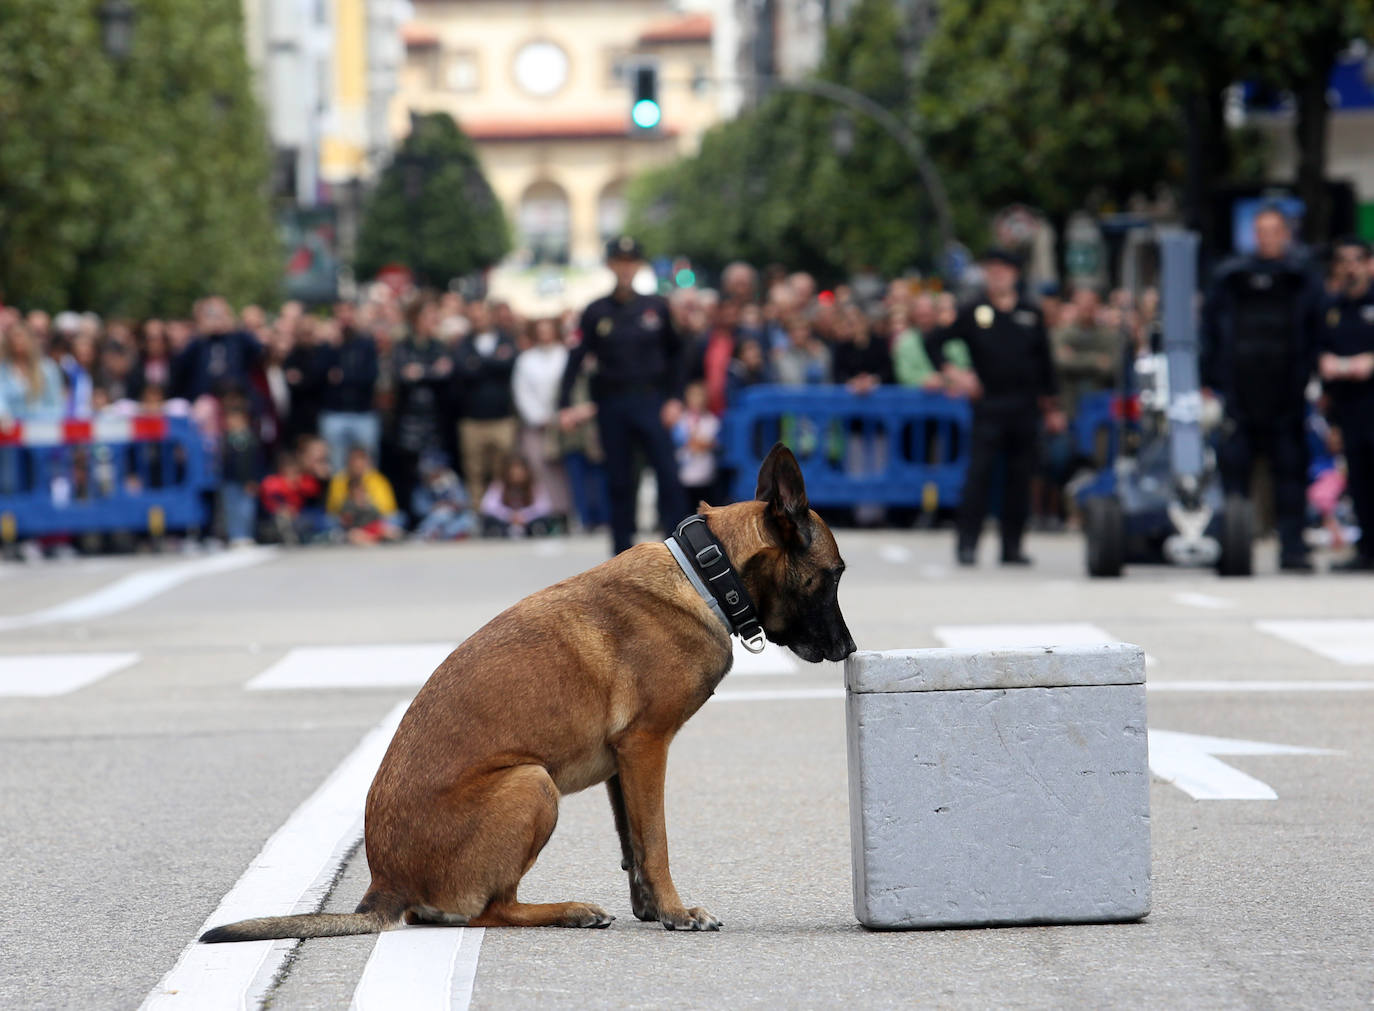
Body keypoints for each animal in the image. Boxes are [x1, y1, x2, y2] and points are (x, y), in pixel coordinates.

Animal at [203, 442, 851, 939]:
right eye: (836, 575)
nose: (849, 650)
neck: (705, 572)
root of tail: (385, 885)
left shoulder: (624, 763)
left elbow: (634, 844)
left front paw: (651, 907)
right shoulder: (647, 746)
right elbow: (658, 840)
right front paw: (676, 912)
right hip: (532, 782)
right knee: (490, 911)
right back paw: (568, 910)